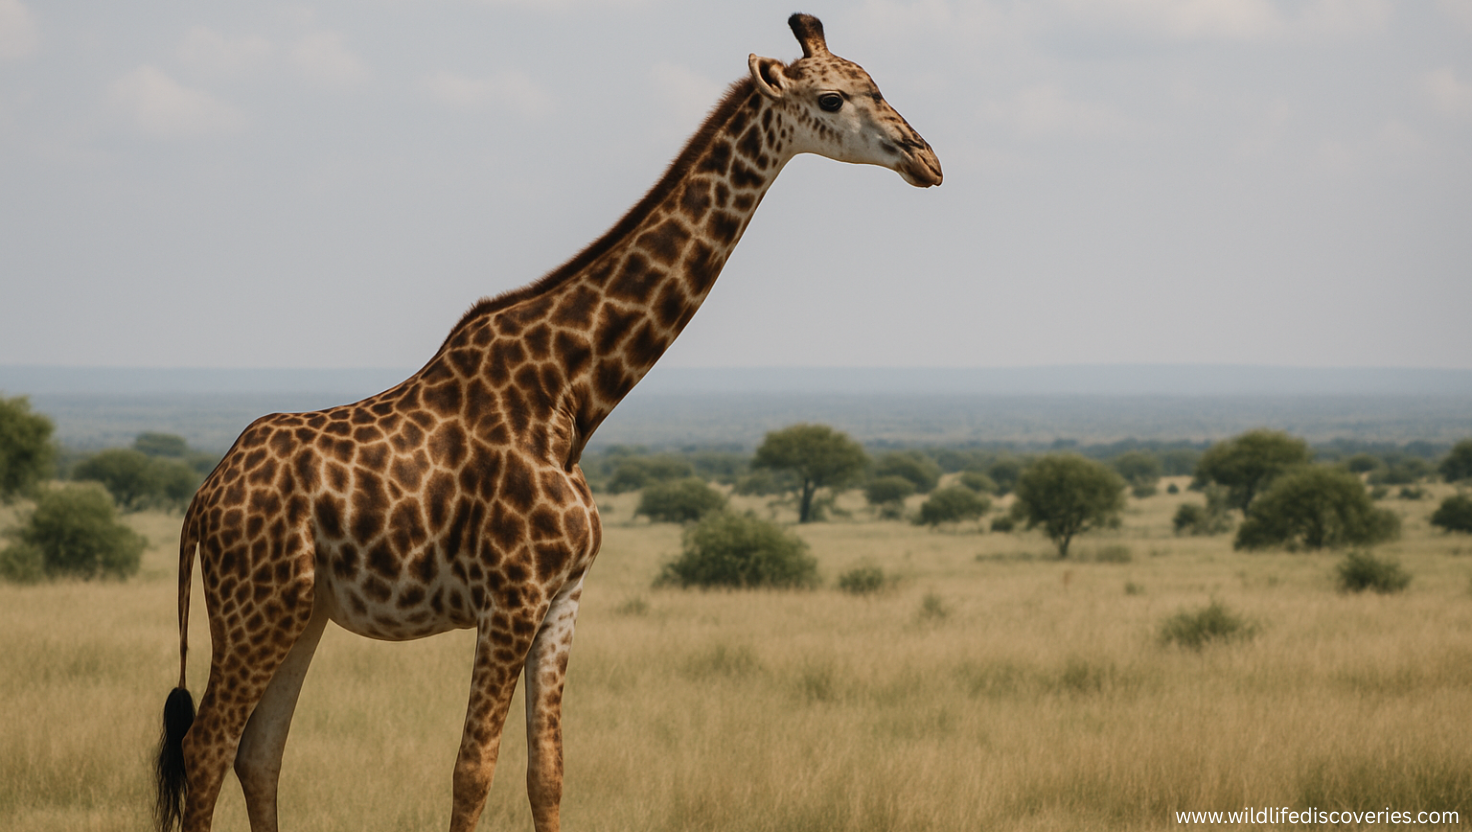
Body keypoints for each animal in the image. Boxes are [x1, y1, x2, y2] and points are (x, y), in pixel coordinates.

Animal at [154, 14, 940, 832]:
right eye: (833, 97)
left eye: (876, 82)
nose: (927, 159)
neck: (573, 393)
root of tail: (204, 498)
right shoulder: (511, 595)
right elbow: (472, 771)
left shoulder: (564, 598)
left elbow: (548, 772)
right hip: (256, 604)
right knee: (206, 746)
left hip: (300, 609)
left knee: (259, 751)